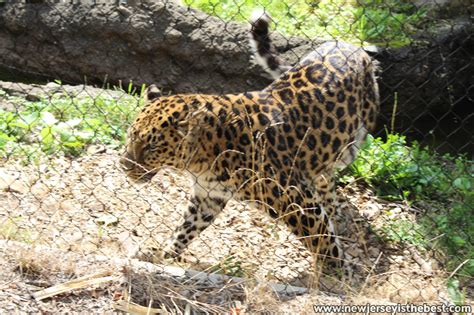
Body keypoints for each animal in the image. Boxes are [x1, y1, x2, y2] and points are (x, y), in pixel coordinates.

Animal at [120, 11, 380, 266]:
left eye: (152, 146)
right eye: (131, 135)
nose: (123, 165)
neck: (201, 160)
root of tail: (347, 44)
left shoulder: (295, 199)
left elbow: (322, 240)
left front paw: (338, 272)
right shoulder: (208, 196)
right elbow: (186, 228)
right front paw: (165, 253)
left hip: (351, 145)